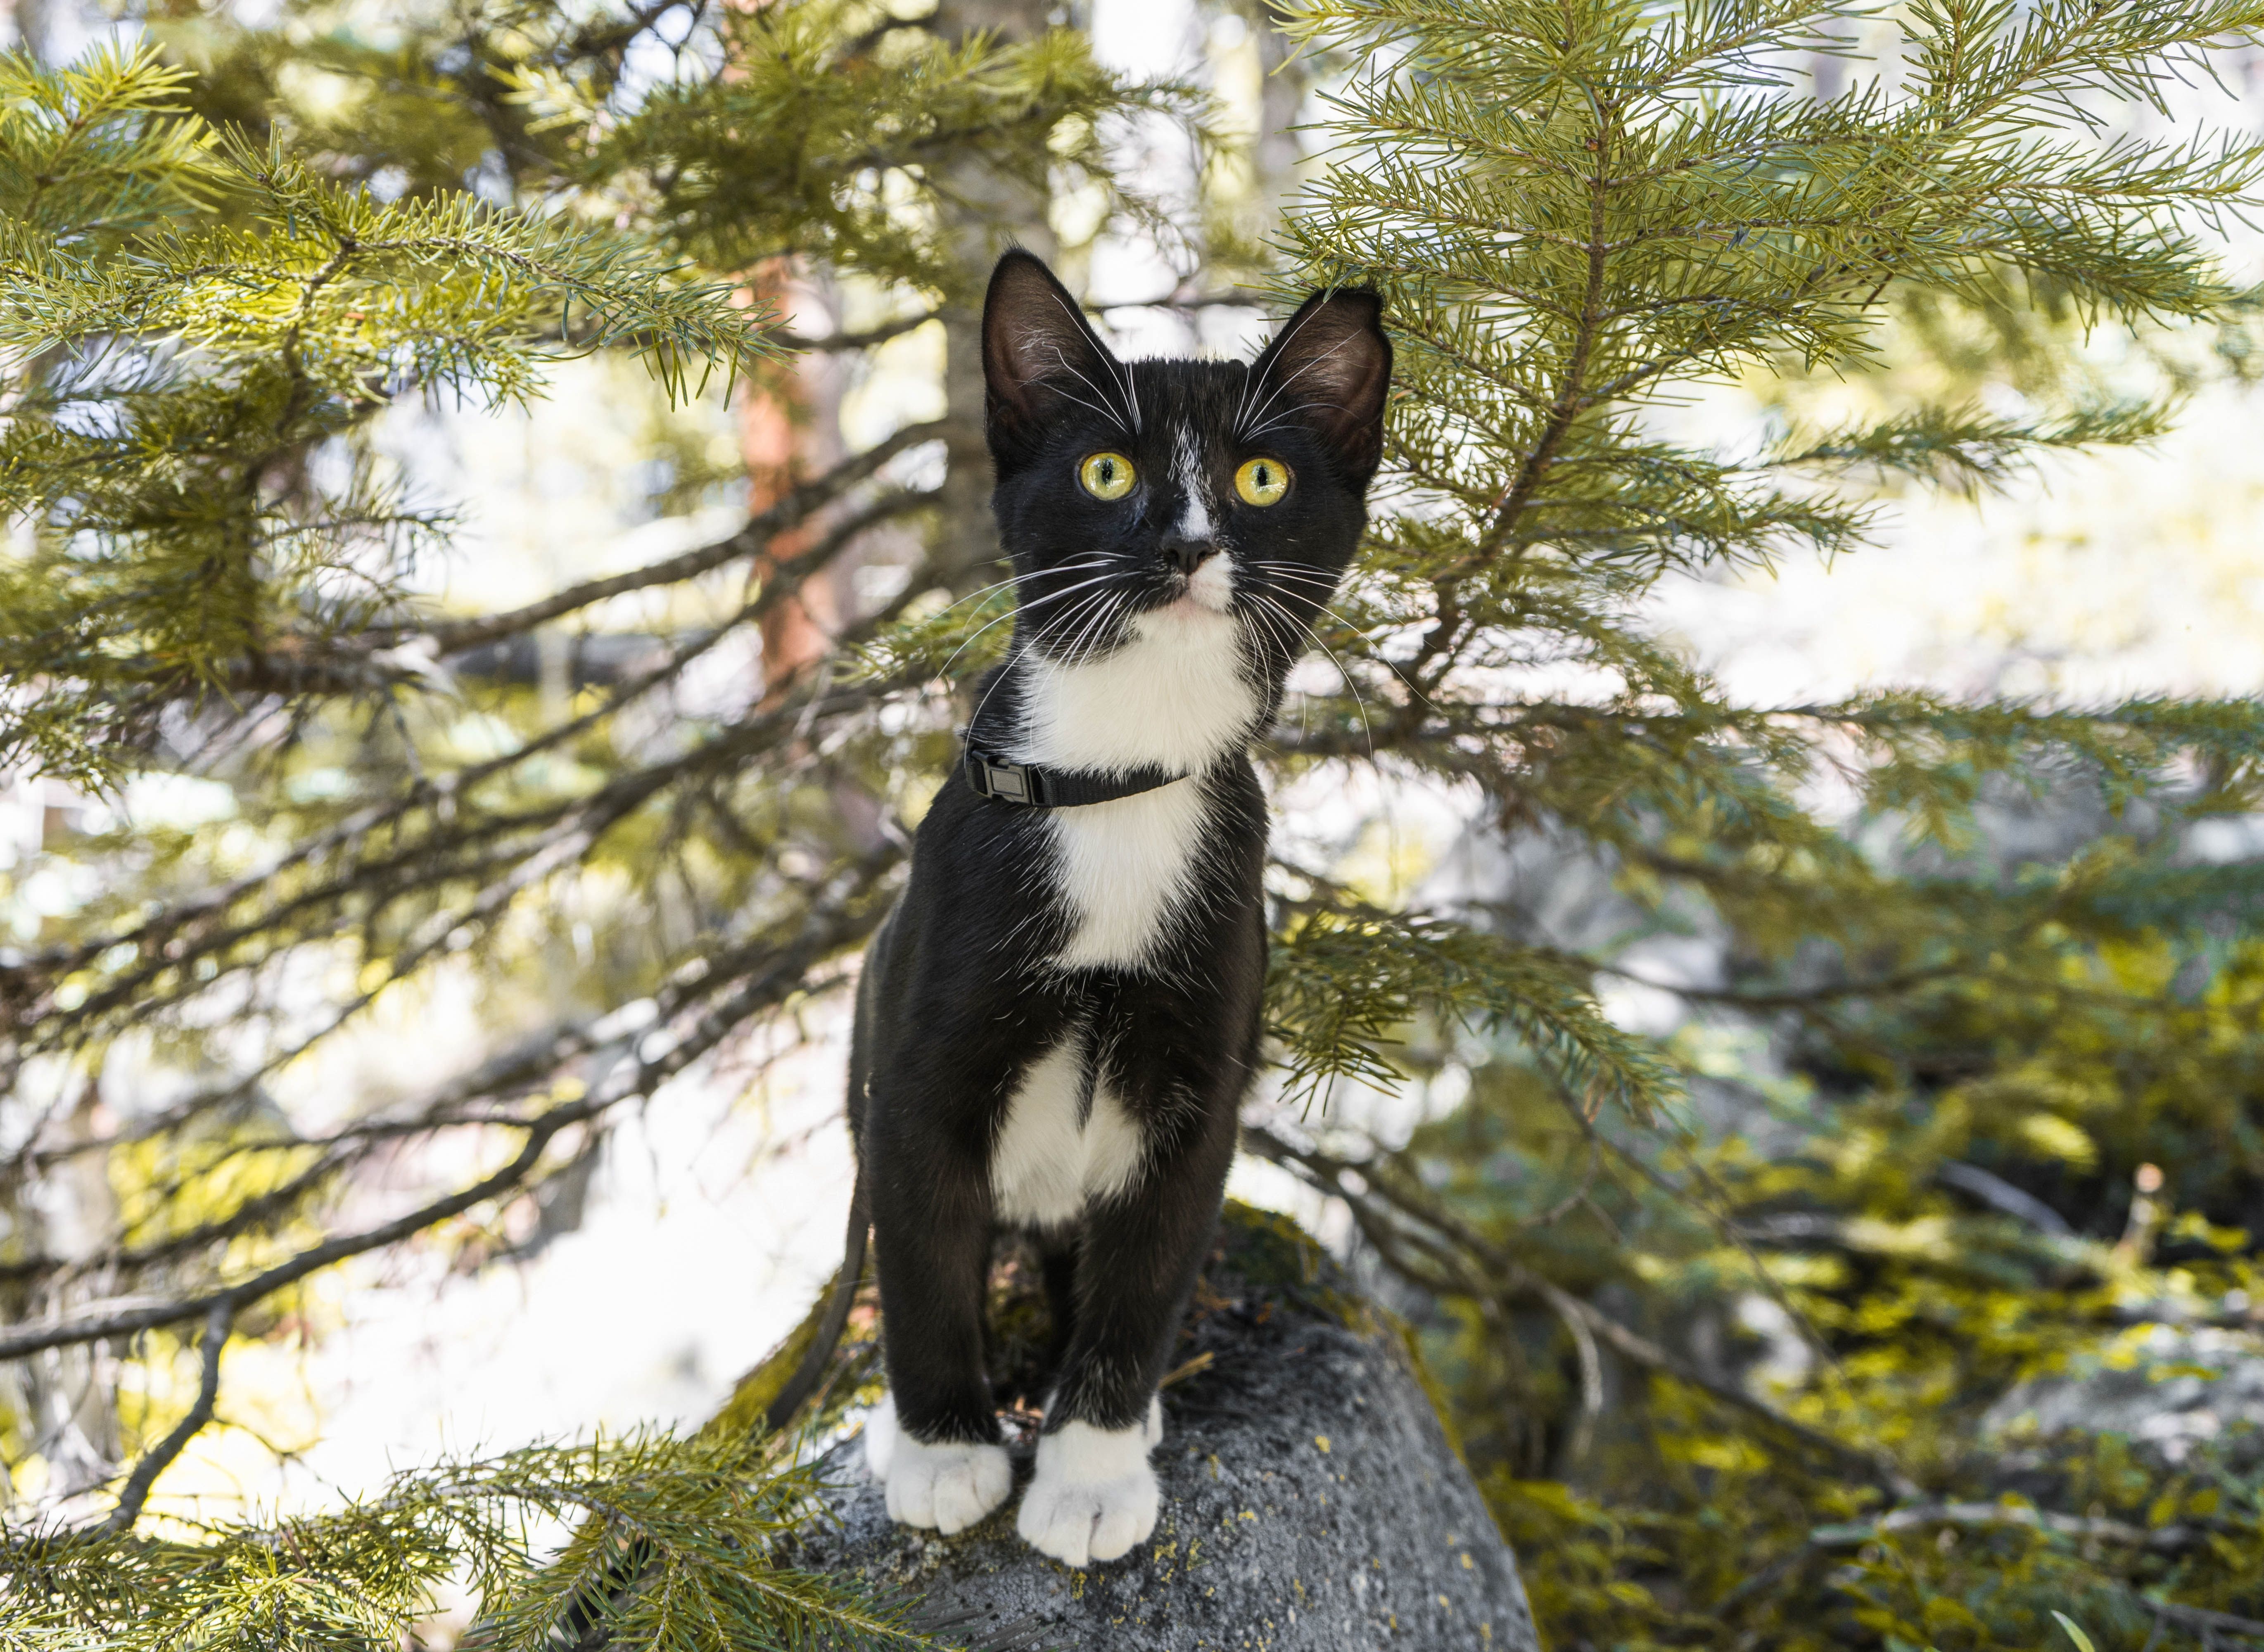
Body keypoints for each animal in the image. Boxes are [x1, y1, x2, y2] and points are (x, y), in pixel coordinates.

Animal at [769, 251, 1385, 1566]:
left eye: (1259, 478)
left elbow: (1147, 1272)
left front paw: (1092, 1469)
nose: (1187, 545)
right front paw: (945, 1450)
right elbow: (922, 1259)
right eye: (1107, 471)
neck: (1117, 785)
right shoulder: (918, 1069)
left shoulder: (1202, 1081)